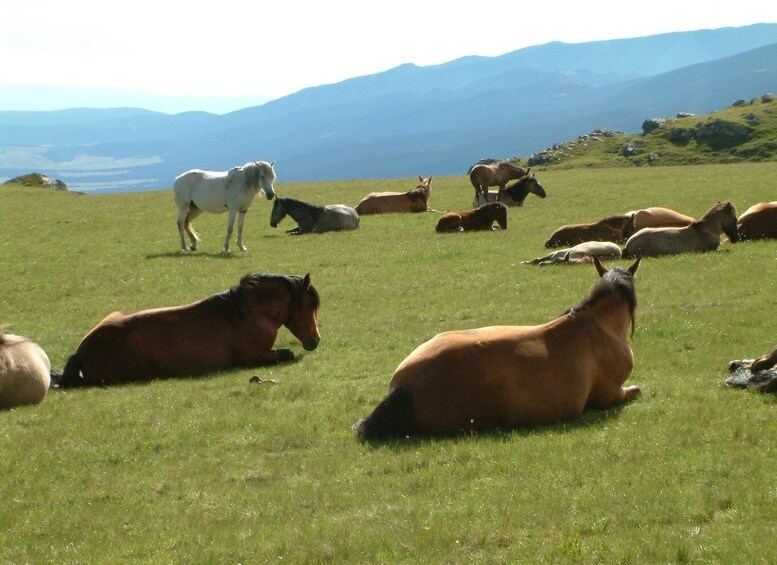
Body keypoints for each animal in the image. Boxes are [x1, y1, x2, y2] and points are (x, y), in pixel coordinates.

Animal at [56, 270, 320, 386]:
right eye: (310, 305)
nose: (315, 340)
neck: (246, 313)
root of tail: (82, 351)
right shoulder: (253, 357)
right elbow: (288, 354)